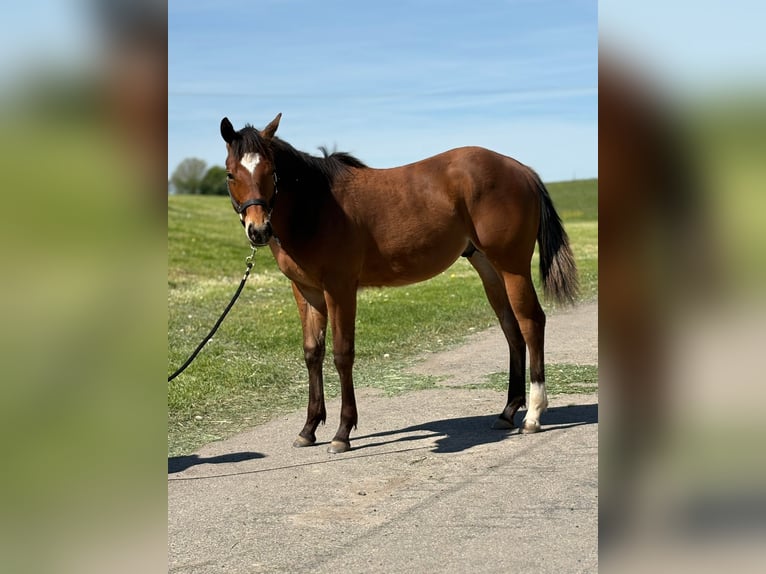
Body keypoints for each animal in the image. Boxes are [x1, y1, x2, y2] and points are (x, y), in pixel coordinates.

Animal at [220, 113, 578, 453]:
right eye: (231, 174)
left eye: (271, 171)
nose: (258, 230)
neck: (316, 207)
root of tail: (522, 170)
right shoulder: (306, 292)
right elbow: (312, 354)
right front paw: (308, 429)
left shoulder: (339, 289)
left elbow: (342, 353)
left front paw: (342, 432)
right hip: (489, 269)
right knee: (511, 329)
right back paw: (507, 412)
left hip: (512, 267)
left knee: (531, 322)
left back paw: (533, 415)